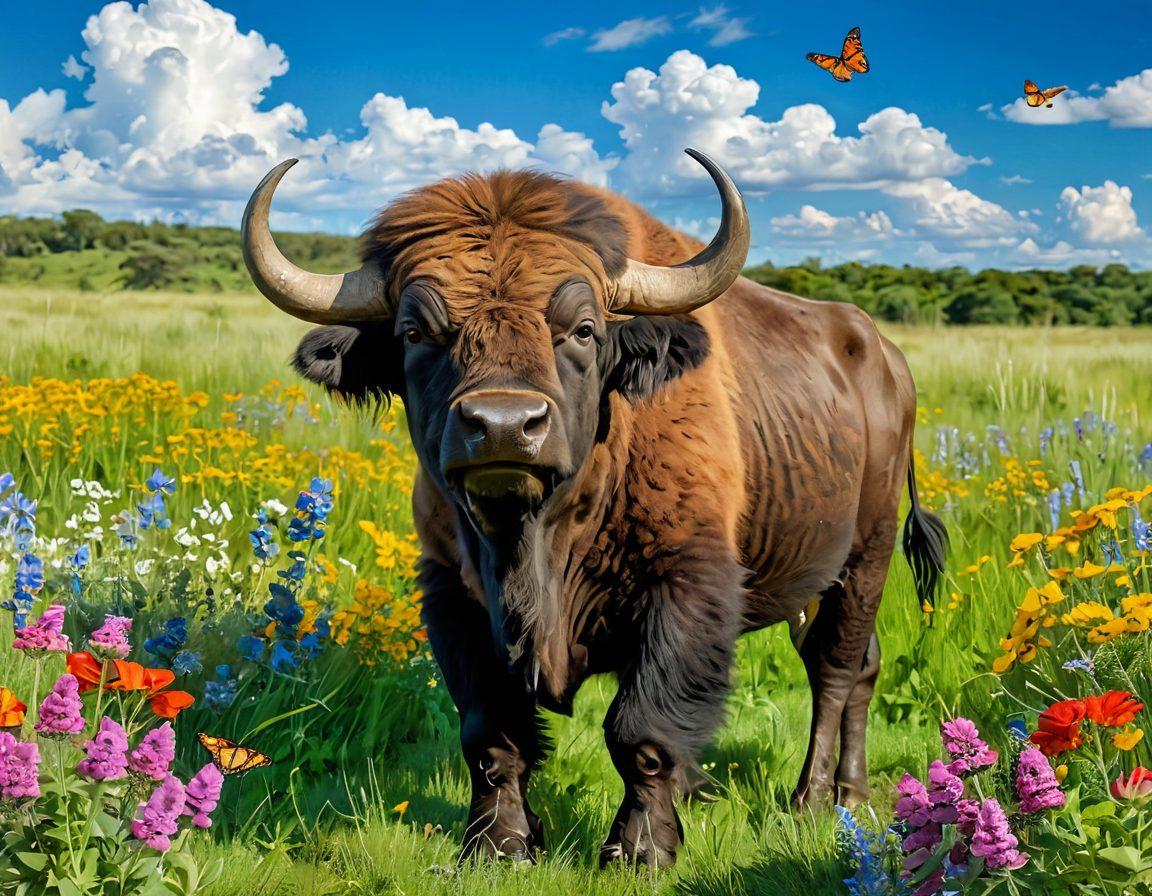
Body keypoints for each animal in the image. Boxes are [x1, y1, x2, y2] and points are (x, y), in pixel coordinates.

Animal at [241, 150, 947, 868]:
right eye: (414, 332)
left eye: (582, 330)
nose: (503, 426)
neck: (541, 543)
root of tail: (885, 360)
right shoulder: (454, 595)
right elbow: (491, 731)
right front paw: (499, 844)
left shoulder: (684, 589)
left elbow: (639, 733)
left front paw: (639, 851)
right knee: (858, 666)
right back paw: (835, 793)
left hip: (865, 558)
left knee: (836, 671)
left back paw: (819, 799)